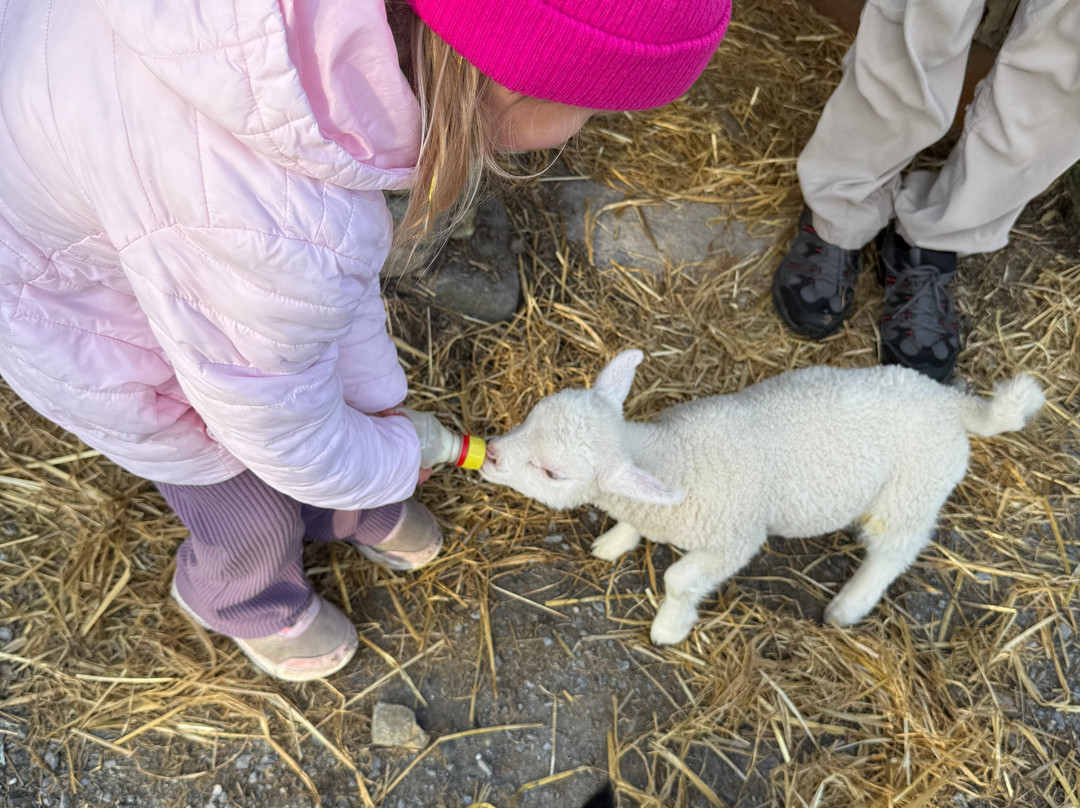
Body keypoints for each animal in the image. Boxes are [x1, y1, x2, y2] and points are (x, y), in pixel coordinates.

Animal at [480, 350, 1045, 645]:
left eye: (552, 472)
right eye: (531, 414)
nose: (489, 458)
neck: (670, 454)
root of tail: (952, 404)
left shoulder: (734, 539)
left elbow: (679, 580)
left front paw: (669, 627)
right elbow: (634, 524)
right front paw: (615, 542)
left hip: (912, 489)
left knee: (893, 551)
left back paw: (847, 607)